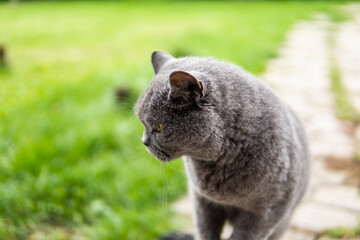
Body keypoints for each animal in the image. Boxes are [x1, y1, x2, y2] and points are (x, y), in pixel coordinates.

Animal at [135, 51, 310, 240]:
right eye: (142, 123)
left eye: (159, 127)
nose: (144, 141)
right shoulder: (202, 201)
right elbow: (205, 230)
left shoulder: (267, 211)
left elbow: (244, 235)